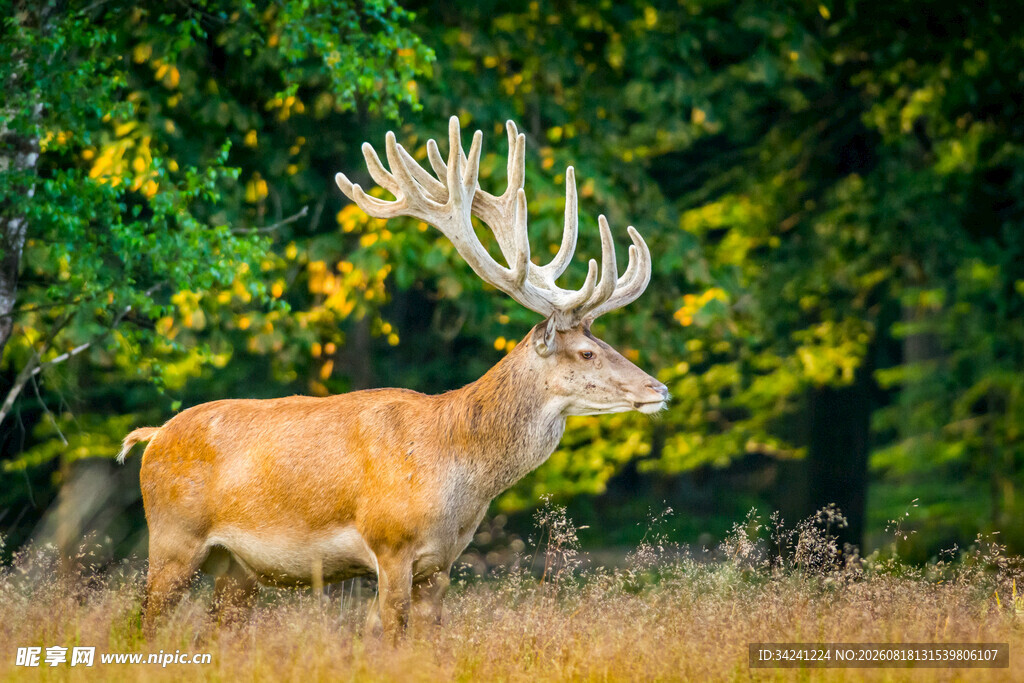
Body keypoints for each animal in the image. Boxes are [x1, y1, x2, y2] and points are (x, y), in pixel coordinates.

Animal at [118, 117, 668, 642]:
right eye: (587, 352)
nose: (658, 389)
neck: (455, 471)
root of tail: (152, 437)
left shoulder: (442, 564)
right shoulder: (390, 544)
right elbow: (390, 637)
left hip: (237, 569)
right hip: (172, 539)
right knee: (143, 624)